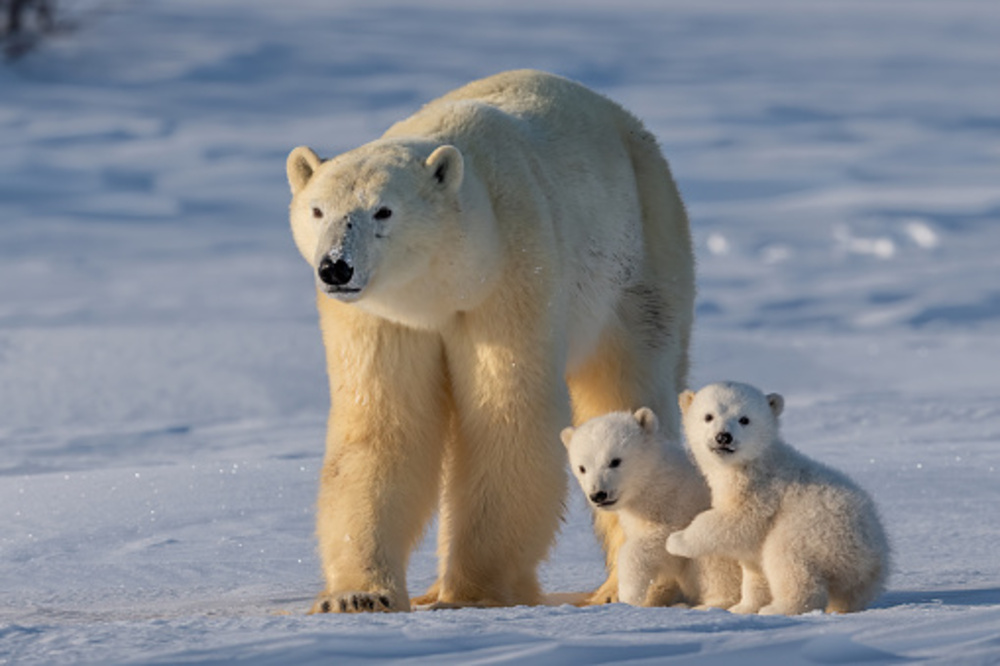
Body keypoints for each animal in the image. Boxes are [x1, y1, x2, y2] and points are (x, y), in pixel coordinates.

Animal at [288, 70, 696, 608]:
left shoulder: (512, 275)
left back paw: (624, 587)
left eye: (383, 211)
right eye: (317, 210)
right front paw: (358, 596)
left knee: (627, 383)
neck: (445, 286)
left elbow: (506, 416)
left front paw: (473, 592)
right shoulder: (382, 317)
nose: (336, 266)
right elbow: (382, 424)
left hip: (641, 259)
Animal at [564, 404, 744, 608]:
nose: (598, 495)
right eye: (582, 468)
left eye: (615, 461)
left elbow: (660, 541)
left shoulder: (680, 504)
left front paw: (629, 593)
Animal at [664, 382, 892, 616]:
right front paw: (742, 608)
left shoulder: (761, 491)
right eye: (709, 416)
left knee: (785, 558)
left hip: (816, 531)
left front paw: (676, 540)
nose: (723, 437)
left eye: (744, 419)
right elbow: (754, 567)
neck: (753, 462)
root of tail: (873, 556)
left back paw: (778, 608)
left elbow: (736, 521)